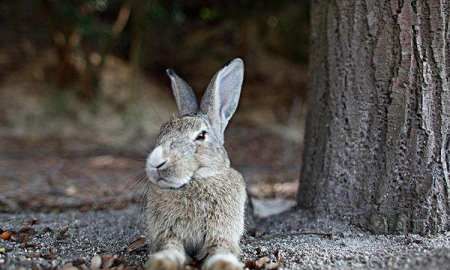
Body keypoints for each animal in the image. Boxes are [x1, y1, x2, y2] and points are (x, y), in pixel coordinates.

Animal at [144, 58, 248, 270]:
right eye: (161, 132)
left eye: (201, 136)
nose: (156, 162)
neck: (196, 181)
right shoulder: (168, 234)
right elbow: (170, 248)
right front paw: (161, 263)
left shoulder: (222, 234)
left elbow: (221, 250)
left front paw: (224, 265)